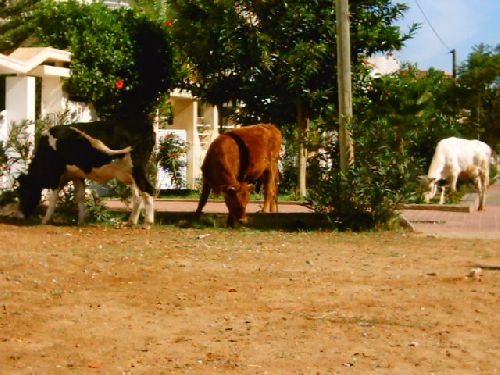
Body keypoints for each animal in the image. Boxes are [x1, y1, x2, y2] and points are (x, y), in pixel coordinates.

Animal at [16, 117, 155, 228]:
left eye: (22, 191)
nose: (20, 215)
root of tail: (146, 126)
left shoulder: (54, 173)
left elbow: (53, 196)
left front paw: (46, 219)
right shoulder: (77, 175)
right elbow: (80, 196)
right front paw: (81, 220)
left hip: (137, 169)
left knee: (147, 190)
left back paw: (147, 223)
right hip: (132, 174)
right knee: (137, 196)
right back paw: (131, 222)